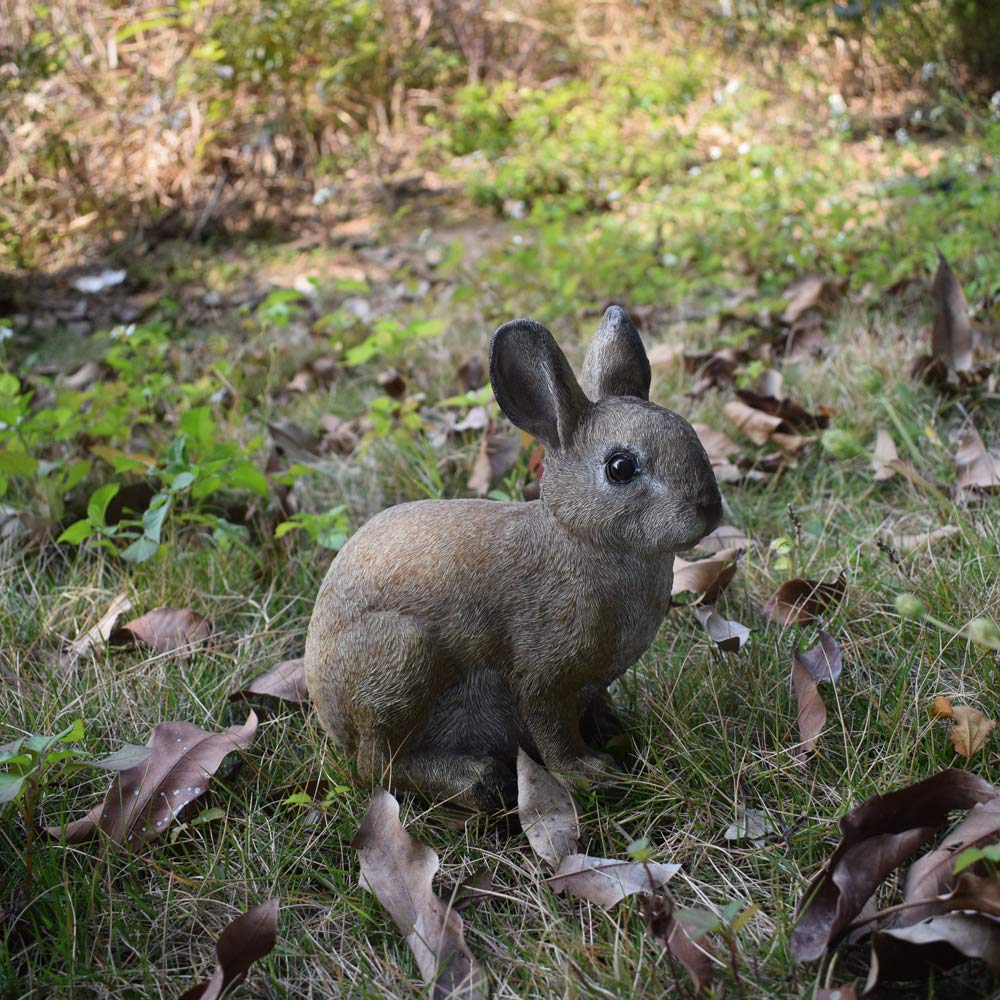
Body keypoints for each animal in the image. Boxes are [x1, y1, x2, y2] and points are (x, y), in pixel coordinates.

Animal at [304, 306, 722, 809]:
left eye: (691, 431)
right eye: (620, 467)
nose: (709, 508)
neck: (580, 539)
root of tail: (326, 706)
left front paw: (616, 728)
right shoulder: (543, 675)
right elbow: (552, 730)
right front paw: (589, 773)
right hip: (402, 657)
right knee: (375, 765)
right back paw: (477, 781)